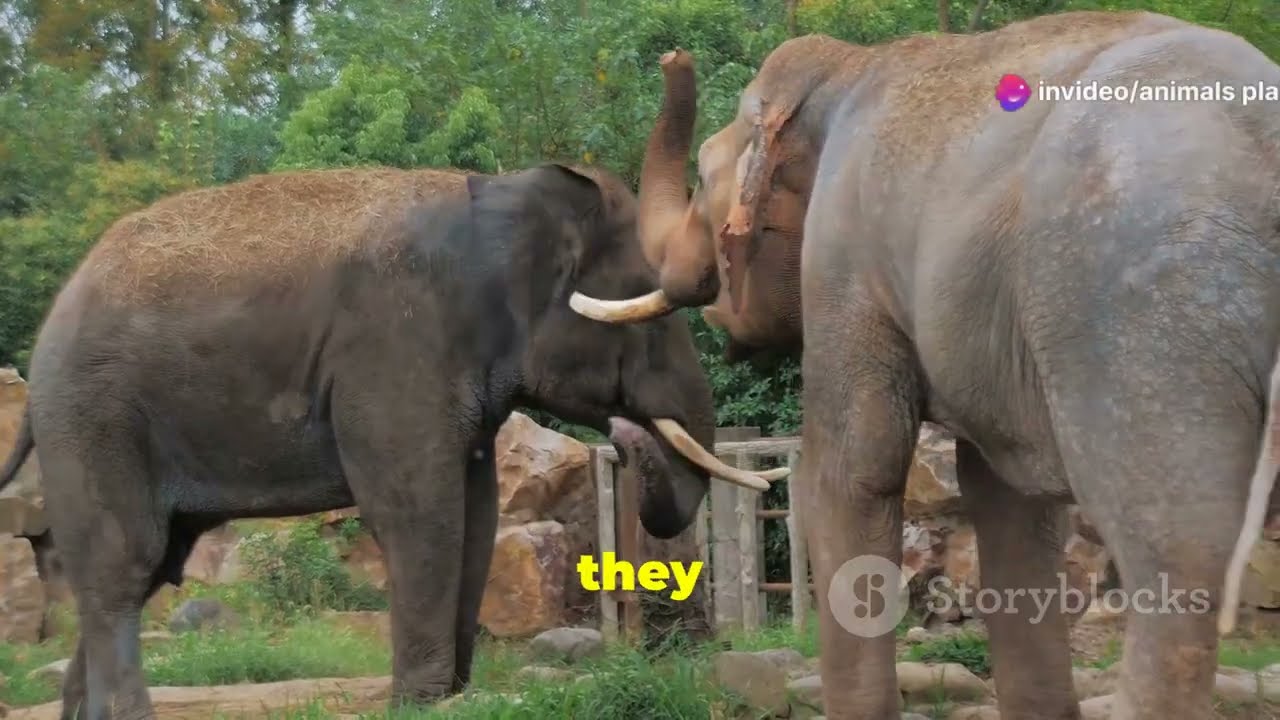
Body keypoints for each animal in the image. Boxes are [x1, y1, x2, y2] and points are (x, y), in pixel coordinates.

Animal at [0, 162, 787, 719]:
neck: (501, 196)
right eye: (651, 314)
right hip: (96, 418)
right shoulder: (395, 348)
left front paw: (453, 695)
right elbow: (420, 512)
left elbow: (476, 514)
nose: (627, 432)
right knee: (123, 565)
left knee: (148, 566)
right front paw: (425, 701)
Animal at [570, 10, 1280, 720]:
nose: (674, 56)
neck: (847, 67)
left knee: (1179, 559)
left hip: (1141, 320)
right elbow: (1004, 500)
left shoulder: (844, 262)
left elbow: (850, 475)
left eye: (704, 178)